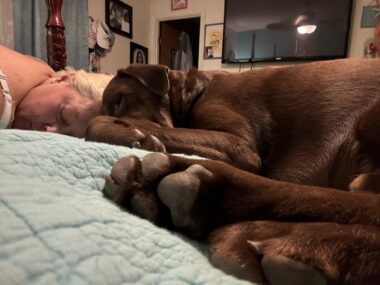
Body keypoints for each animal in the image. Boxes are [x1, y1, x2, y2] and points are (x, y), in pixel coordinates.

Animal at [85, 60, 380, 284]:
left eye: (120, 99)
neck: (196, 92)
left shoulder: (238, 145)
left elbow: (99, 123)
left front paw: (124, 133)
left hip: (365, 123)